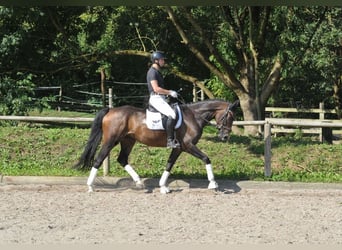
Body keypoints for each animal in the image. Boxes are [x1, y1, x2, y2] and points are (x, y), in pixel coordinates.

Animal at [75, 99, 240, 193]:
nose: (225, 137)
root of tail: (111, 110)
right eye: (229, 117)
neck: (193, 116)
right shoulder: (188, 145)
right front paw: (213, 184)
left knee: (122, 159)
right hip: (111, 141)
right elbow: (206, 158)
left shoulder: (178, 148)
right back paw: (90, 187)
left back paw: (139, 183)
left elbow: (169, 164)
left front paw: (163, 186)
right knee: (99, 159)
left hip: (128, 141)